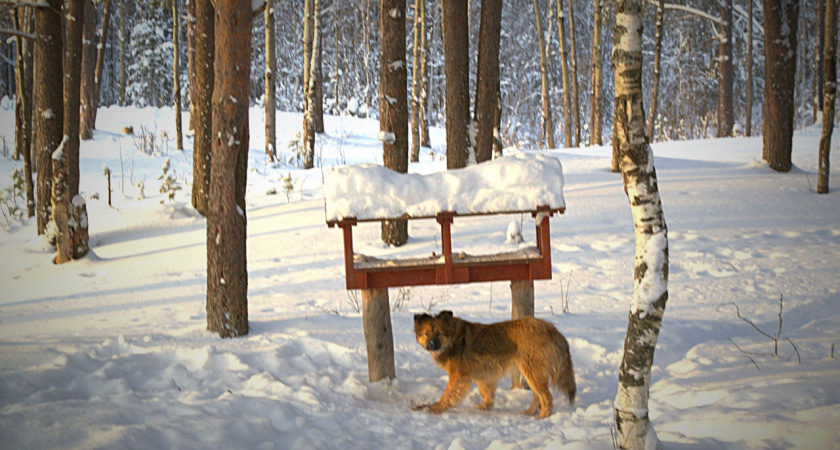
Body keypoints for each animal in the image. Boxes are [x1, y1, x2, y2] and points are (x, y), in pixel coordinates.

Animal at [410, 310, 576, 418]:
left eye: (438, 333)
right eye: (426, 333)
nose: (431, 344)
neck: (453, 339)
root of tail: (552, 329)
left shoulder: (458, 376)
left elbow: (448, 394)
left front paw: (437, 407)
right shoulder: (481, 374)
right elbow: (486, 392)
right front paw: (485, 407)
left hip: (532, 370)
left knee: (546, 397)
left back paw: (543, 417)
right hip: (532, 372)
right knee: (538, 396)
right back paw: (529, 412)